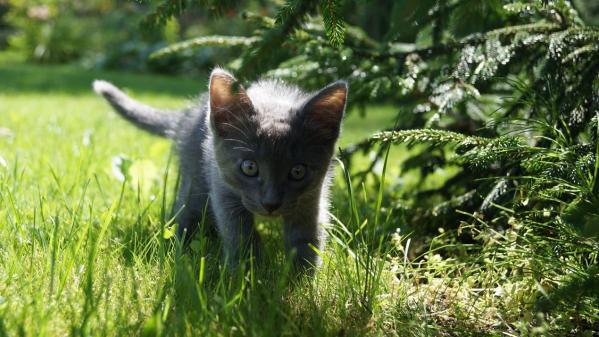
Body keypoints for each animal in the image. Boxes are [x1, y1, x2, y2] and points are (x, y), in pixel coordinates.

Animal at [93, 69, 346, 270]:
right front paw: (246, 276)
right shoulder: (223, 188)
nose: (271, 204)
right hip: (195, 178)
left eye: (297, 171)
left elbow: (306, 236)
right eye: (249, 167)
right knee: (187, 210)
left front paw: (302, 282)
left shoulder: (311, 197)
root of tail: (189, 115)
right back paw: (179, 248)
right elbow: (238, 233)